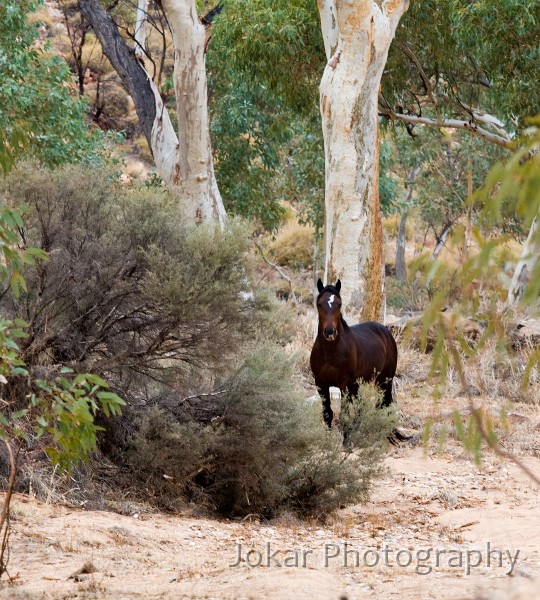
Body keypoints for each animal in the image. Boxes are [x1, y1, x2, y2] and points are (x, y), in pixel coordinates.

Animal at [310, 282, 398, 432]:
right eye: (319, 304)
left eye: (339, 304)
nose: (330, 332)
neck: (329, 352)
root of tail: (386, 331)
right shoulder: (321, 384)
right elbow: (328, 414)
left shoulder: (344, 385)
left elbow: (344, 415)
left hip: (385, 380)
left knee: (384, 404)